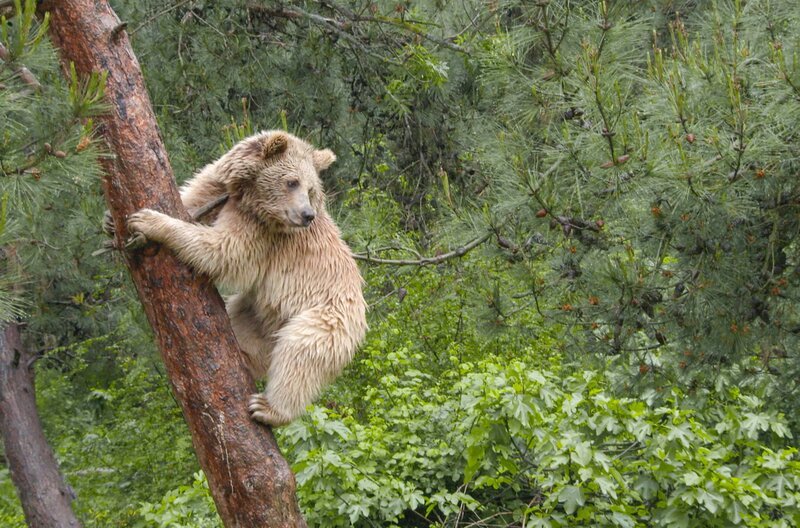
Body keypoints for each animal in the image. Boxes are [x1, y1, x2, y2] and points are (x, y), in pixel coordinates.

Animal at [126, 130, 367, 426]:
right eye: (293, 182)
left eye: (310, 189)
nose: (307, 215)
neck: (249, 198)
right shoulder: (222, 187)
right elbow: (194, 197)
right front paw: (112, 221)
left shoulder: (262, 233)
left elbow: (223, 250)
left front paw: (149, 221)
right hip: (257, 312)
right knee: (245, 330)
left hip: (325, 318)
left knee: (301, 354)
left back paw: (269, 408)